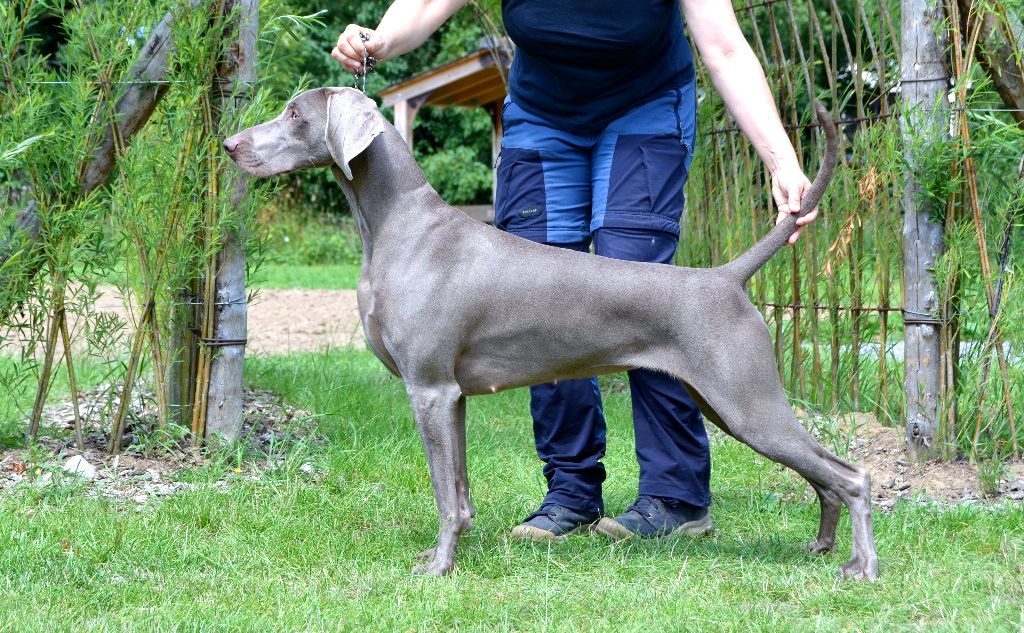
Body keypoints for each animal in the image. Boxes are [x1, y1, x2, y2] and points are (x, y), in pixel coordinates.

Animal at [224, 86, 880, 577]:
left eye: (294, 114)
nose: (230, 145)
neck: (396, 226)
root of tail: (725, 277)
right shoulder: (452, 397)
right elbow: (458, 491)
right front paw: (452, 551)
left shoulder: (428, 389)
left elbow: (442, 494)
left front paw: (438, 568)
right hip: (726, 403)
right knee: (823, 474)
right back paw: (823, 548)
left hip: (746, 401)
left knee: (851, 474)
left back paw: (861, 567)